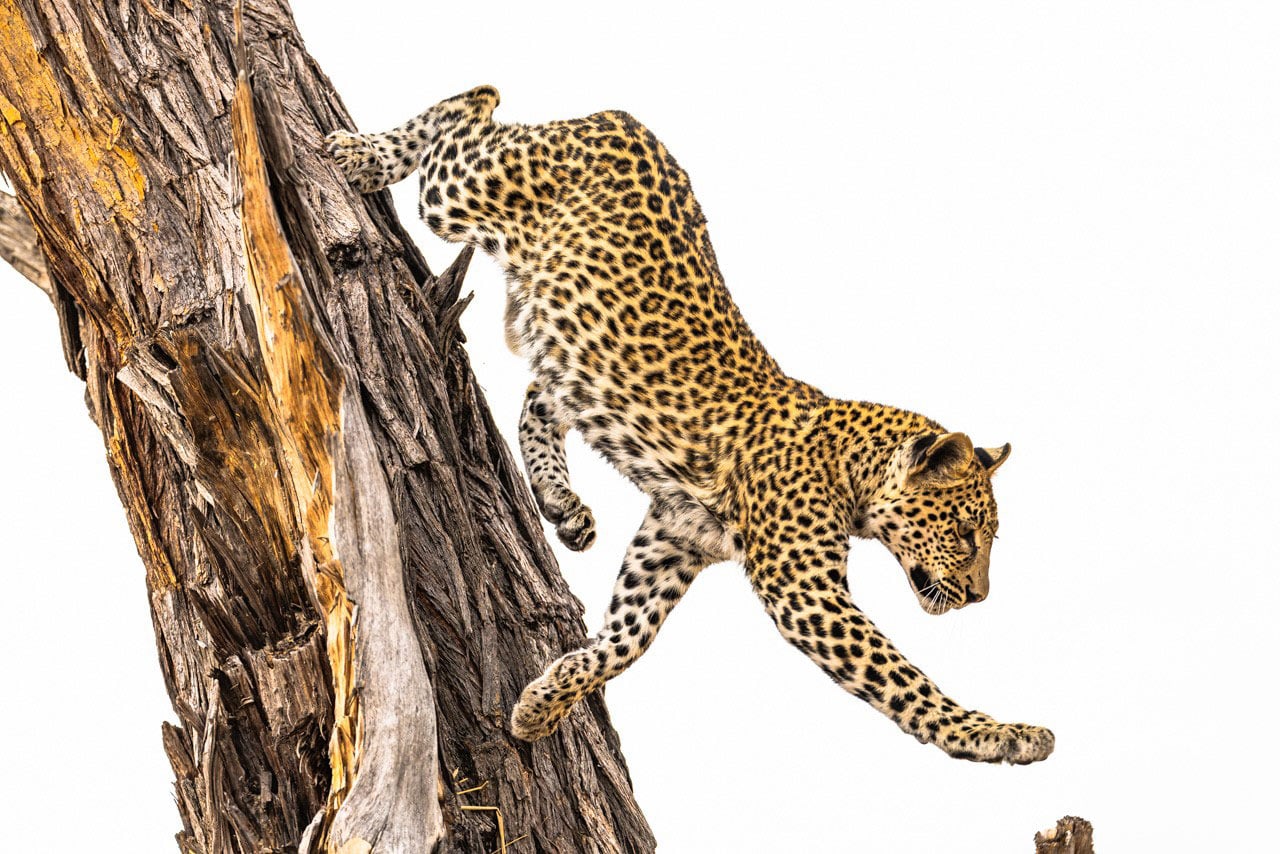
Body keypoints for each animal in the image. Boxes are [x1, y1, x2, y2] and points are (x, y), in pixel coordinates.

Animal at [326, 85, 1054, 764]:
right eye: (965, 534)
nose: (978, 596)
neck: (847, 467)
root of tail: (622, 118)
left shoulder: (674, 539)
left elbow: (630, 639)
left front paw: (544, 702)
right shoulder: (804, 589)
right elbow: (905, 682)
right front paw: (1001, 735)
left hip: (577, 350)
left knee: (540, 396)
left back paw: (565, 505)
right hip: (461, 193)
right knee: (468, 107)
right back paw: (358, 154)